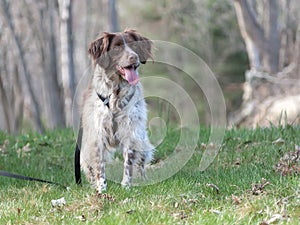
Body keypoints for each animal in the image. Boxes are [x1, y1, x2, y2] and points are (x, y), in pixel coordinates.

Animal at [74, 29, 155, 192]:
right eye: (116, 47)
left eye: (134, 45)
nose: (134, 57)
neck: (116, 94)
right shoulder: (97, 135)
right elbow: (99, 167)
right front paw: (101, 189)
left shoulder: (131, 131)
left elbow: (129, 163)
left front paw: (126, 186)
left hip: (142, 142)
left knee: (141, 163)